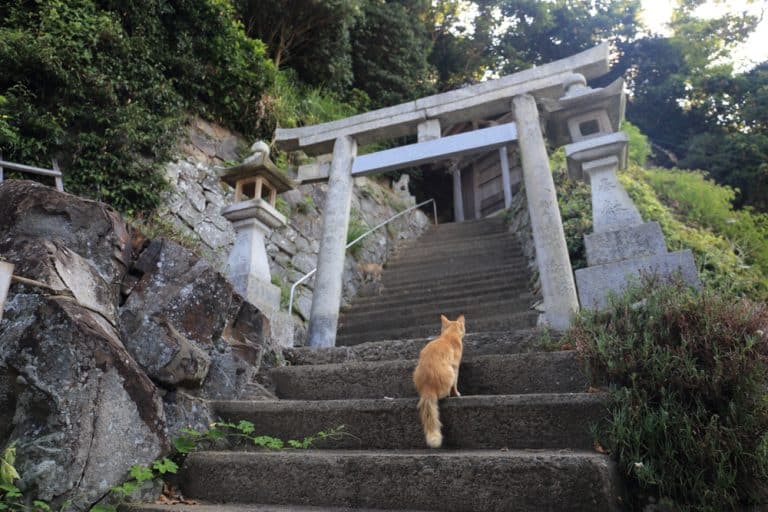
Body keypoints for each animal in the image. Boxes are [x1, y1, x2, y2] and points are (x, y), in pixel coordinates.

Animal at [412, 314, 464, 450]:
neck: (448, 335)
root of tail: (427, 388)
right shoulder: (456, 367)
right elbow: (455, 385)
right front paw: (457, 394)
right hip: (450, 371)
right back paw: (448, 394)